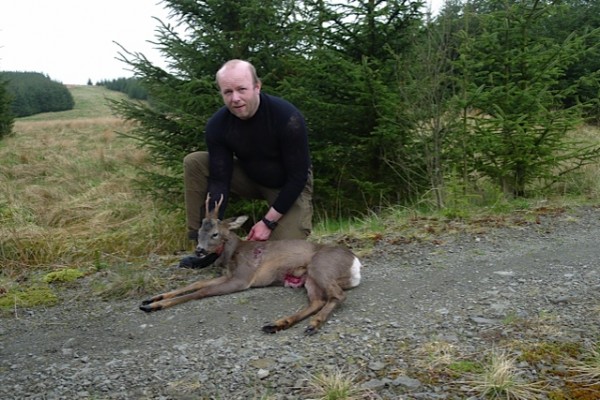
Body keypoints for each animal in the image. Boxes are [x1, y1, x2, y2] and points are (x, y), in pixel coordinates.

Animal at [141, 194, 360, 334]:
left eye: (215, 234)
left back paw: (312, 325)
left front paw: (155, 305)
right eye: (199, 232)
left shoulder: (243, 278)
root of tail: (356, 264)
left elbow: (201, 292)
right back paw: (276, 324)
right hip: (309, 279)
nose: (199, 251)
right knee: (318, 301)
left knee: (338, 295)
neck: (231, 254)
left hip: (320, 266)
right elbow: (197, 284)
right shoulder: (229, 274)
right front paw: (152, 300)